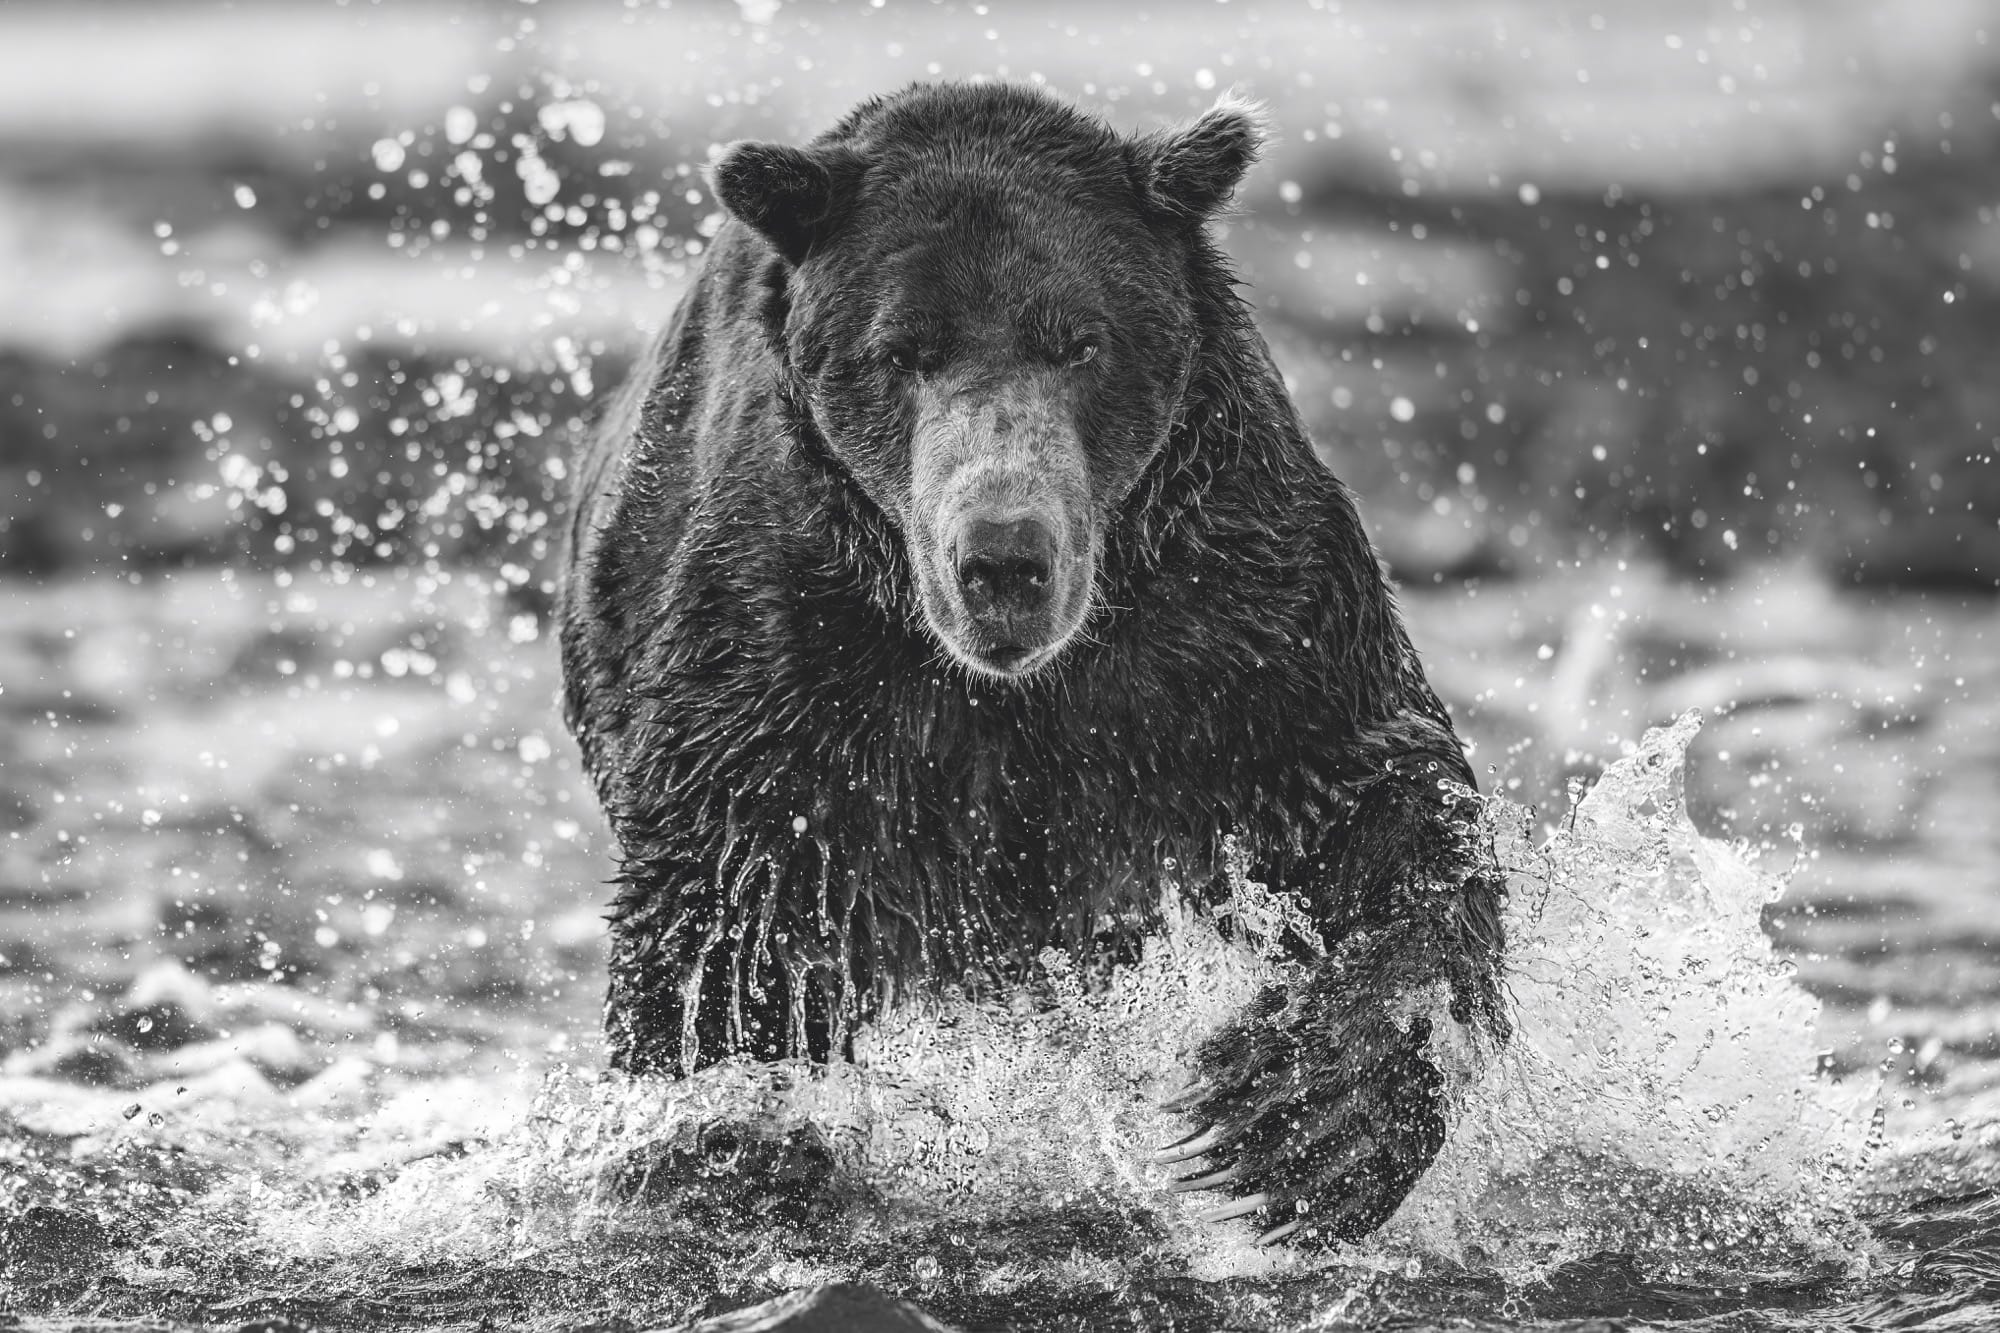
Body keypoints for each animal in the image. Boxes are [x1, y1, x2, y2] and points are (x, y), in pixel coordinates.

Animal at [557, 82, 1508, 1246]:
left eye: (1079, 342)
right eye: (902, 348)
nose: (1003, 556)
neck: (1013, 688)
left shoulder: (1239, 631)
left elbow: (1384, 800)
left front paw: (1296, 1118)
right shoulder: (784, 668)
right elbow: (730, 932)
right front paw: (732, 1144)